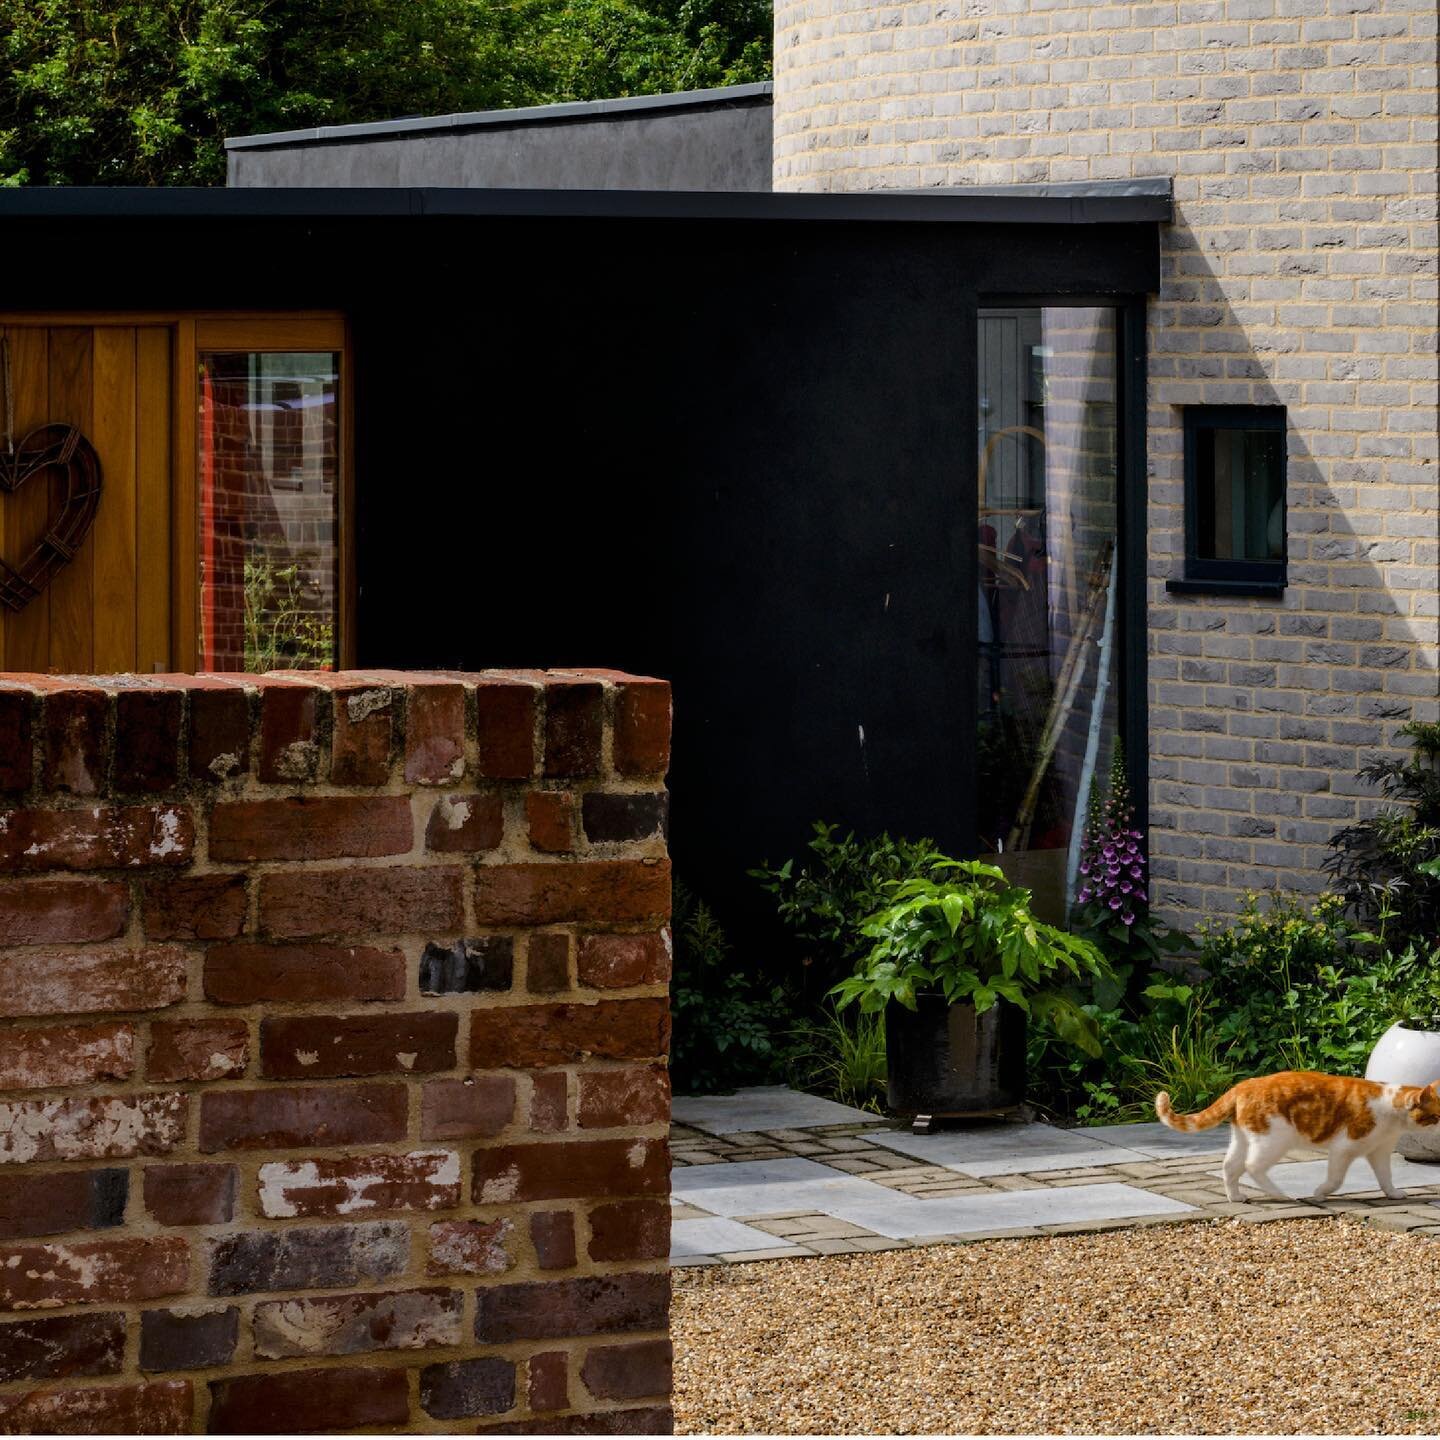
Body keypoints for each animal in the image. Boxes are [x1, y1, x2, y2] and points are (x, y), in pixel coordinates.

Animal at [1152, 1071, 1440, 1203]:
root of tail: (1243, 1084)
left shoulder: (1379, 1152)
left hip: (1243, 1138)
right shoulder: (1343, 1148)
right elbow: (1335, 1180)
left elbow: (1385, 1177)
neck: (1390, 1109)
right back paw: (1280, 1195)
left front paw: (1393, 1193)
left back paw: (1235, 1197)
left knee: (1230, 1166)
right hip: (1274, 1140)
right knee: (1252, 1166)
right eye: (1437, 1116)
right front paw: (1320, 1194)